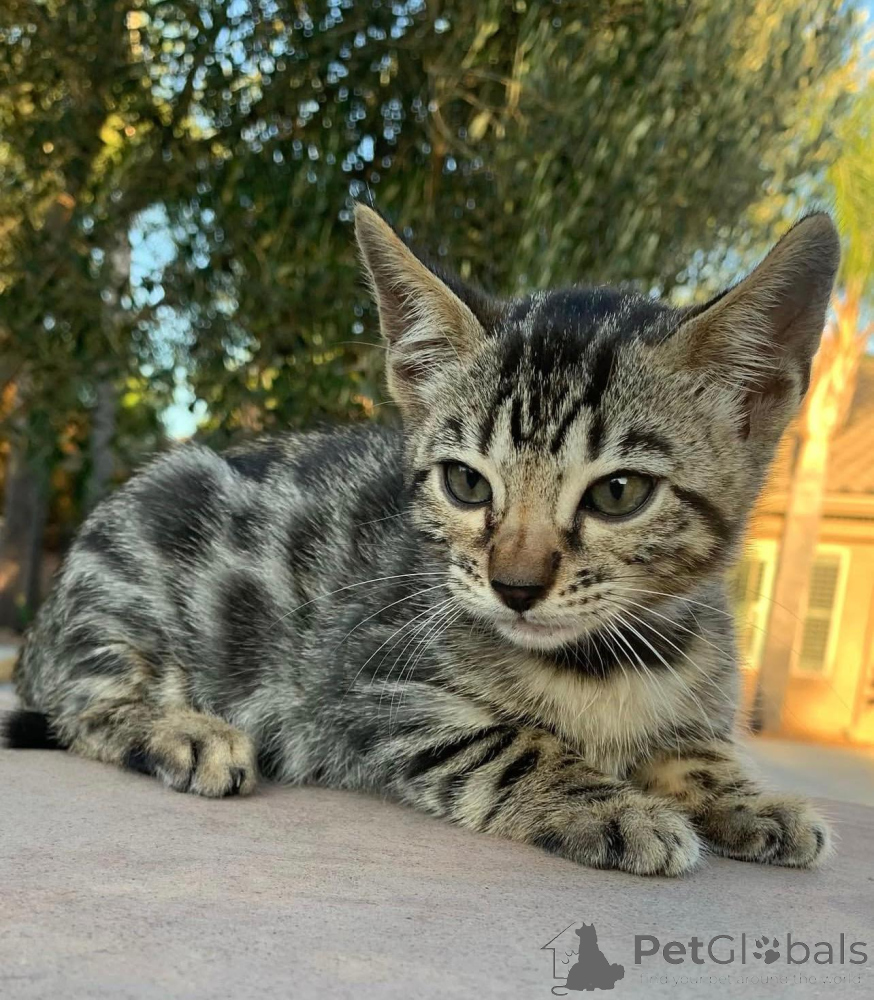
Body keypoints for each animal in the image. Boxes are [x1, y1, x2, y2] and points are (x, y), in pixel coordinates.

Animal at [7, 204, 839, 877]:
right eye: (467, 483)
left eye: (618, 493)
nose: (515, 585)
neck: (604, 666)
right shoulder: (365, 688)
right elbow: (511, 742)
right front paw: (613, 805)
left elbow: (696, 751)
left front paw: (748, 798)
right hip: (130, 580)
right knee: (83, 704)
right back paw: (185, 731)